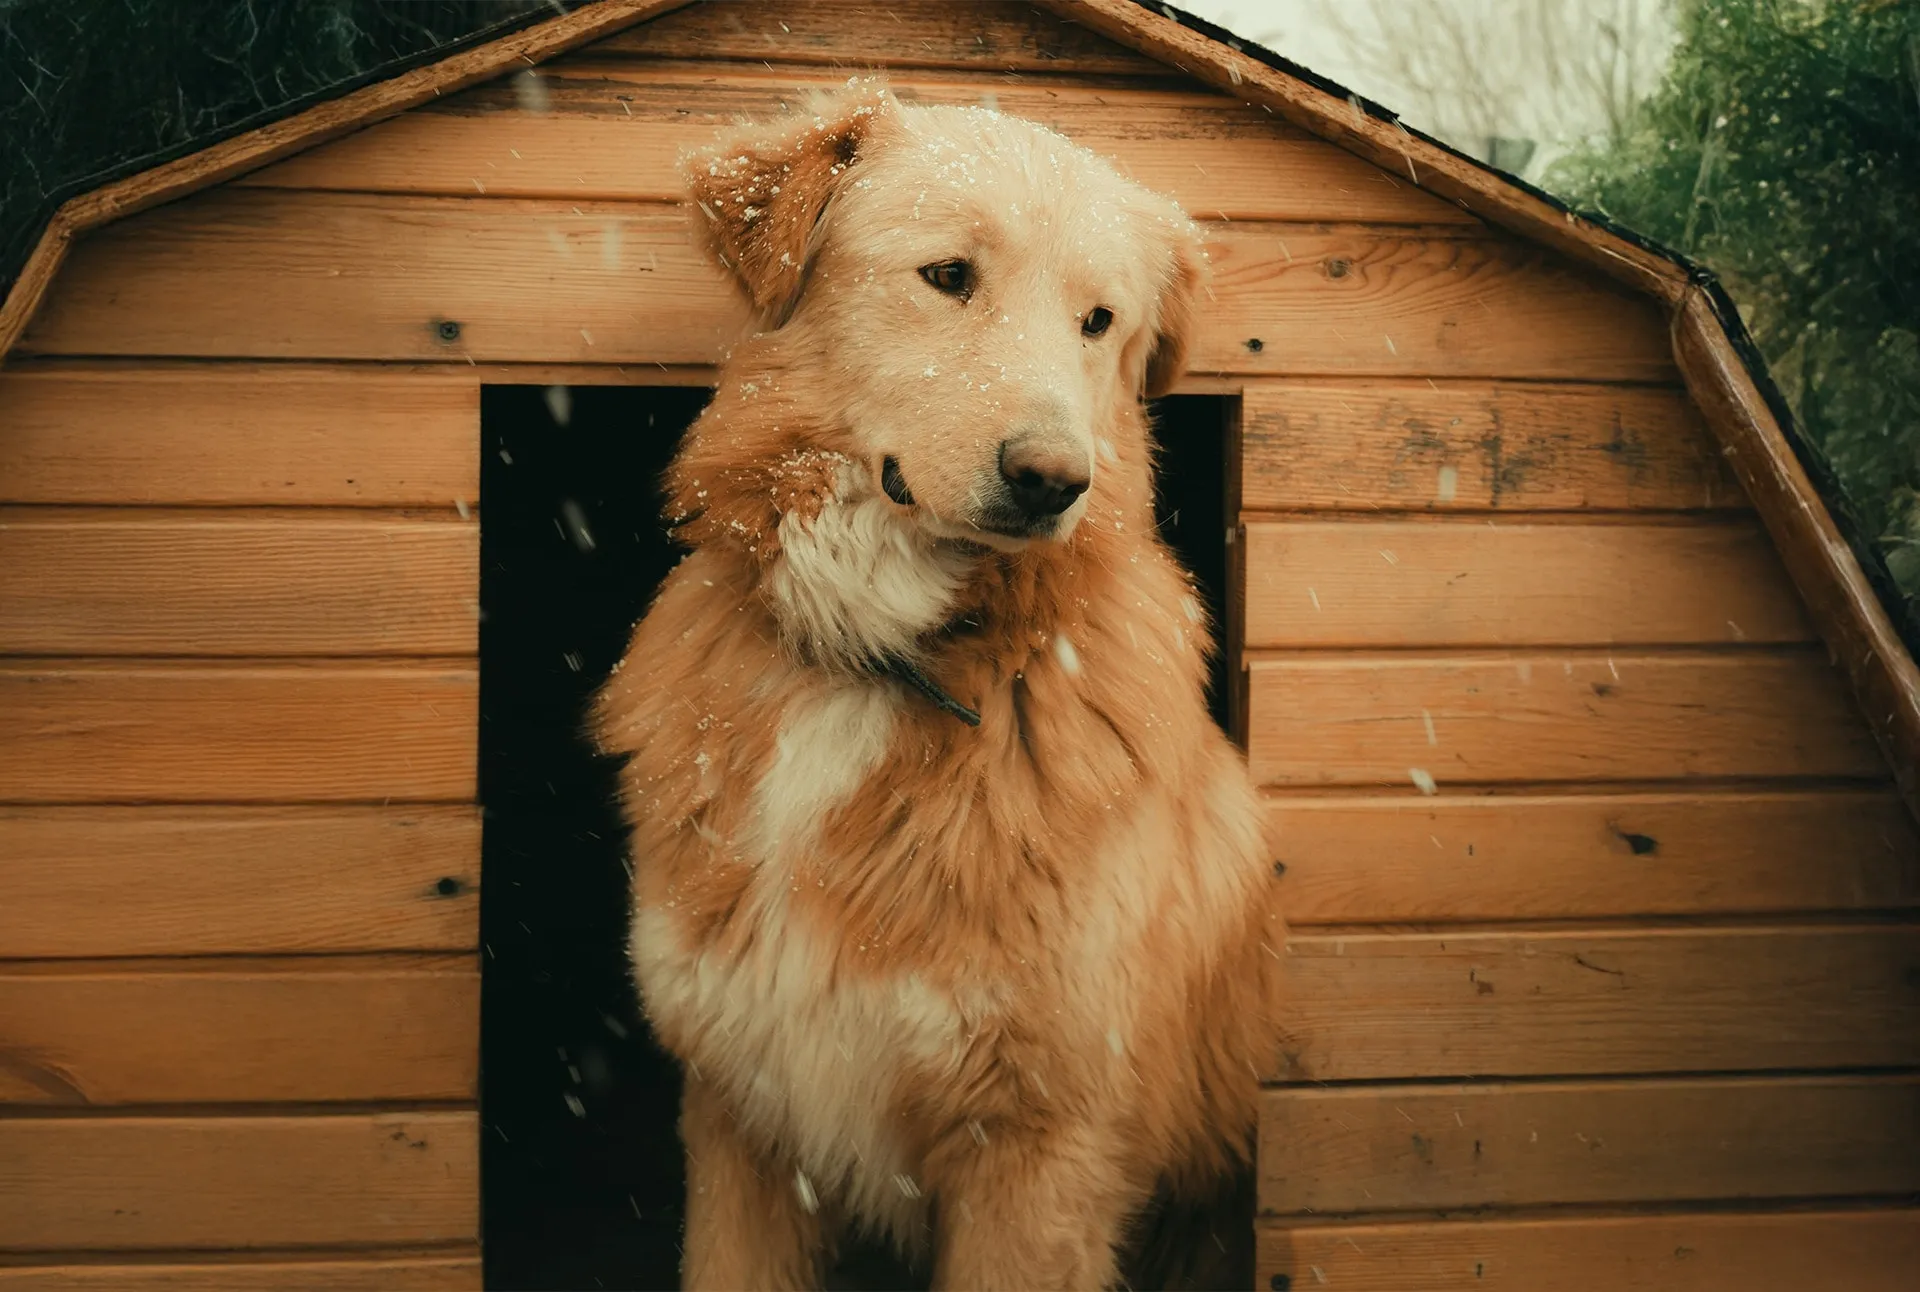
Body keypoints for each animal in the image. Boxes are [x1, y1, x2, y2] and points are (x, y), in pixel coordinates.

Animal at [595, 83, 1290, 1290]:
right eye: (950, 276)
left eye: (1098, 322)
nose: (1055, 480)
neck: (880, 660)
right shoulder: (740, 1117)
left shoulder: (1041, 1148)